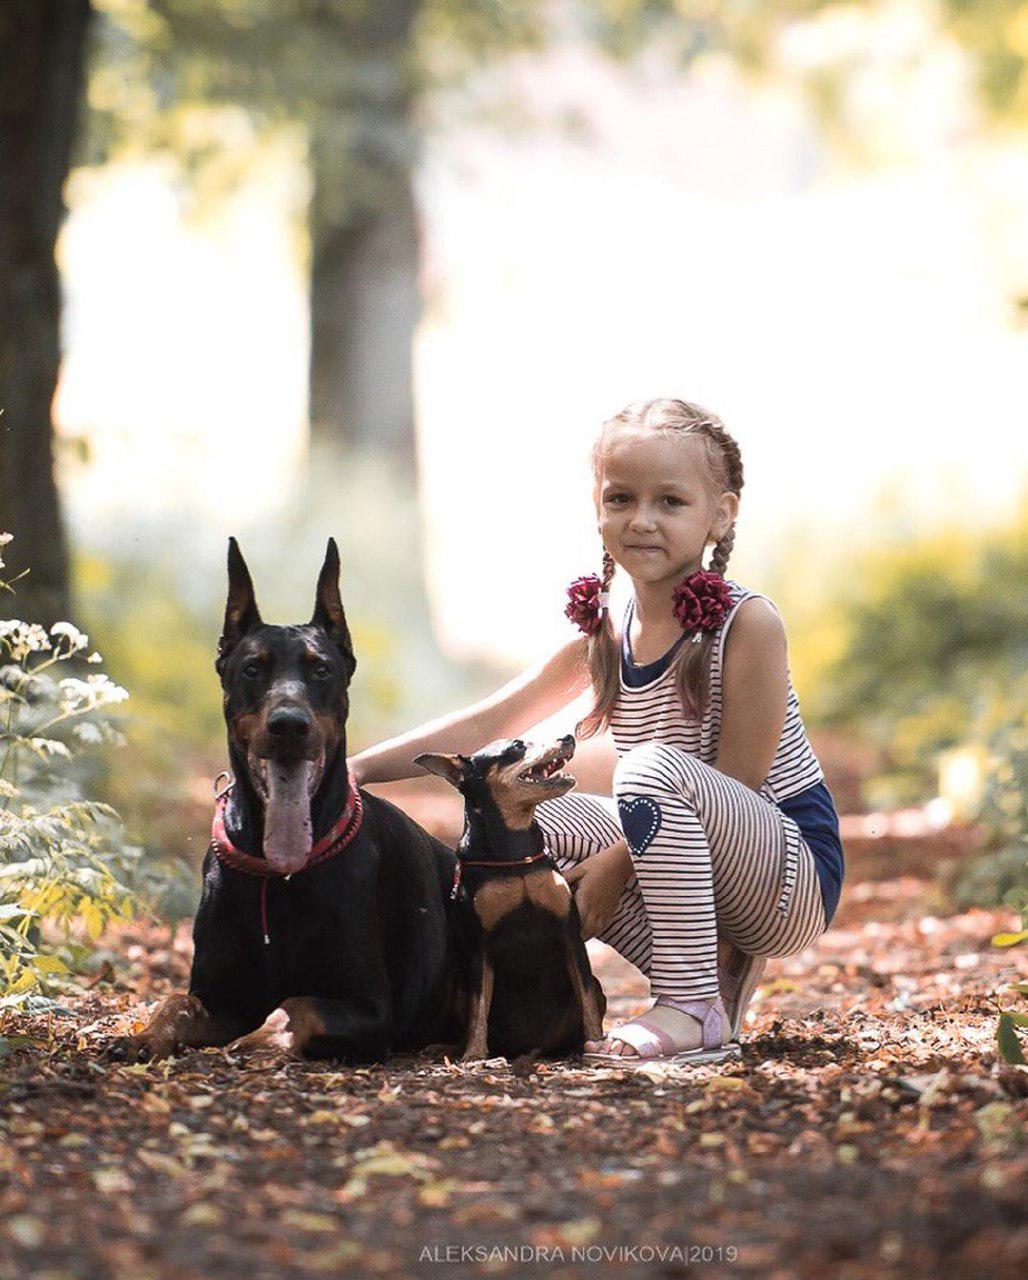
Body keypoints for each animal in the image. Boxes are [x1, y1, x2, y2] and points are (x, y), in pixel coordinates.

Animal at [414, 742, 604, 1059]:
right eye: (516, 748)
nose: (567, 737)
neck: (516, 854)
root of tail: (528, 1047)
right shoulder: (479, 945)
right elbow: (479, 1007)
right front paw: (474, 1054)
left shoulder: (569, 933)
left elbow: (586, 998)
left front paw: (598, 1045)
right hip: (457, 988)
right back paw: (447, 1047)